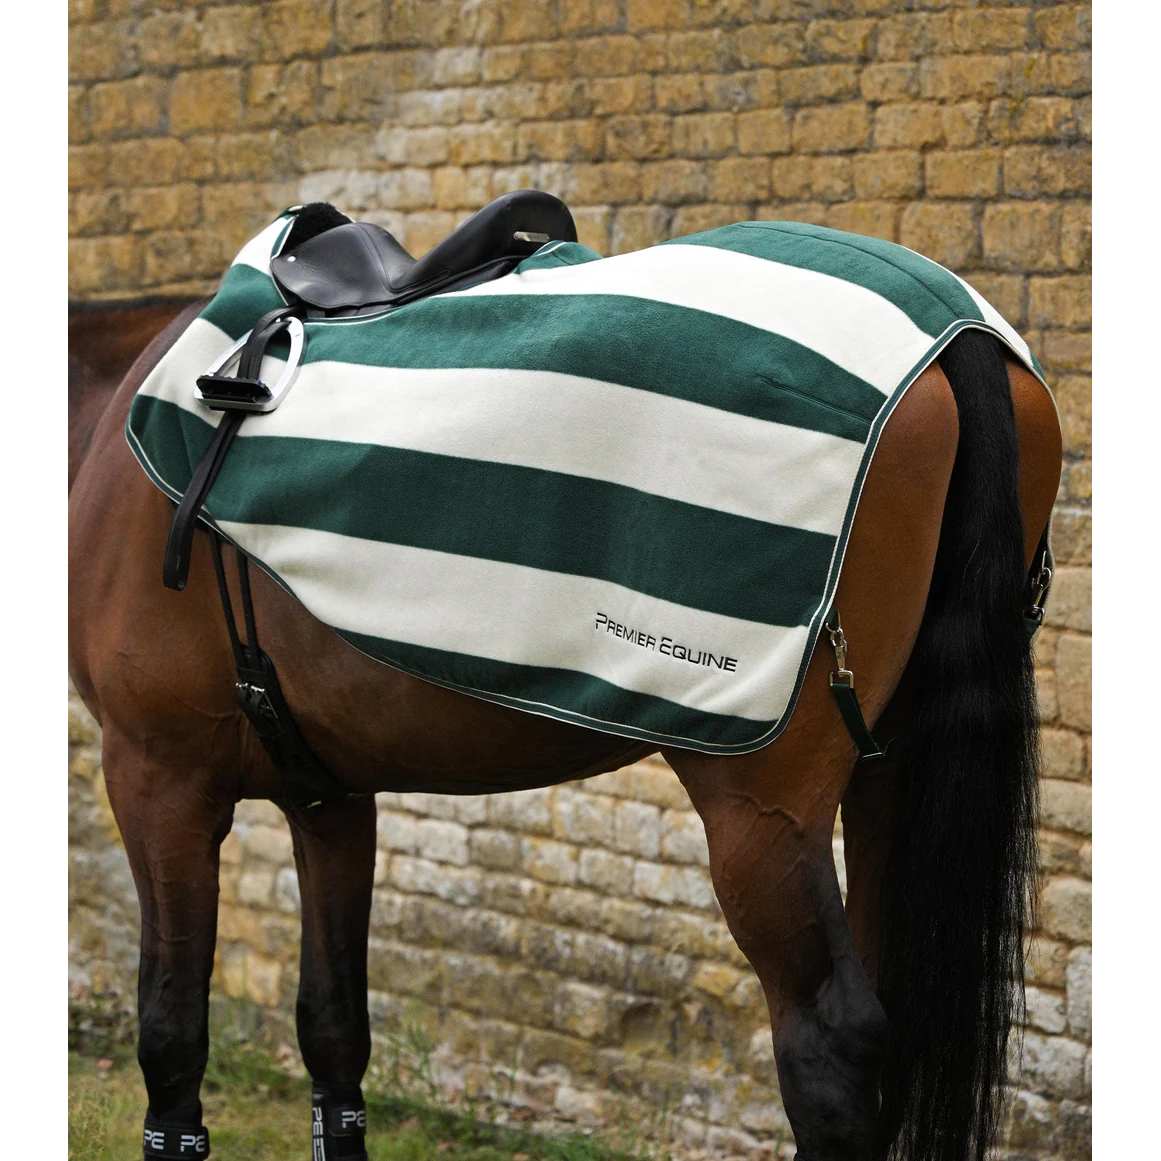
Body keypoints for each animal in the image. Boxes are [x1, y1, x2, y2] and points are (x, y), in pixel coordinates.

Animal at [67, 209, 1062, 1161]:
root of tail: (955, 335)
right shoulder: (329, 795)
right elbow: (334, 1031)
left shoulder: (157, 777)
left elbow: (171, 1034)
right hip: (888, 775)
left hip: (763, 809)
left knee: (833, 1043)